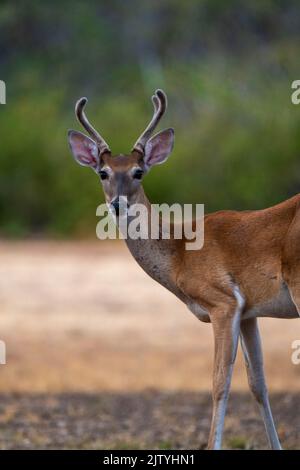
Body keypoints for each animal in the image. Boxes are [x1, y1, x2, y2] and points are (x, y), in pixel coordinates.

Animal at [67, 88, 300, 448]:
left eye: (138, 171)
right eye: (102, 172)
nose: (118, 203)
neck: (180, 253)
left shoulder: (223, 302)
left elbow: (220, 383)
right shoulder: (249, 312)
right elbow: (258, 384)